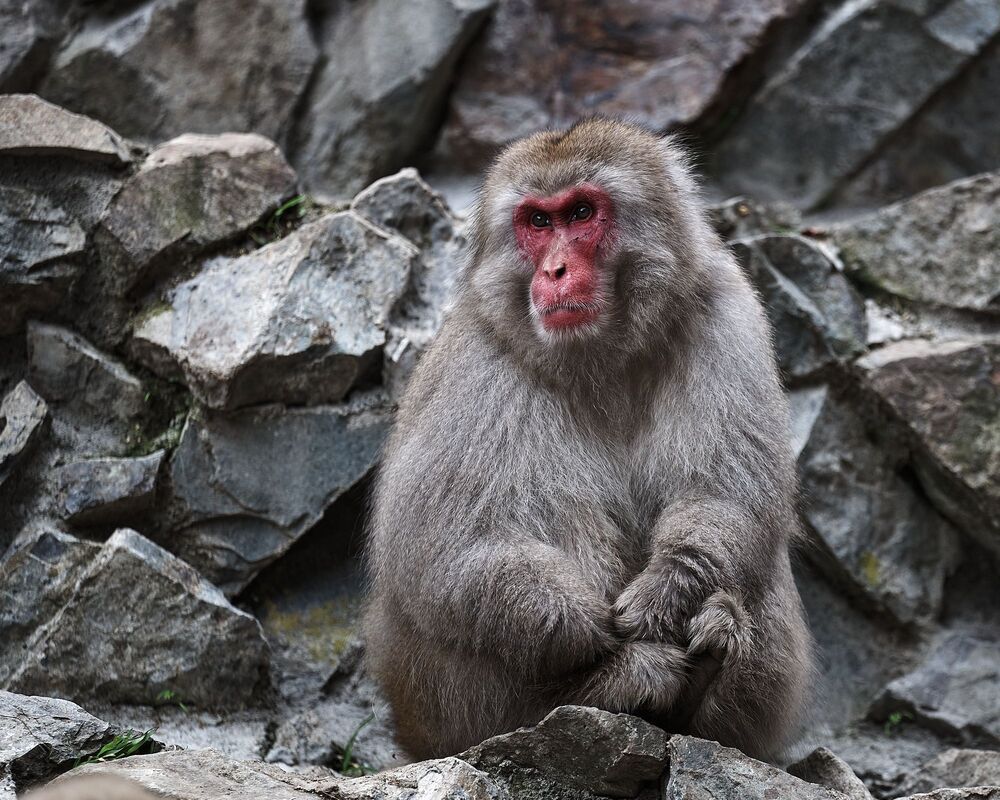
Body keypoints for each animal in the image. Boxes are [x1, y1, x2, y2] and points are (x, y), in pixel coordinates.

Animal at [363, 118, 814, 762]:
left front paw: (671, 591)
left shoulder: (725, 312)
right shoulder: (475, 361)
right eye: (537, 222)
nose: (553, 272)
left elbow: (728, 494)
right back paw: (610, 687)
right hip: (443, 712)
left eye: (580, 212)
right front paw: (584, 630)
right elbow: (437, 545)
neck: (600, 355)